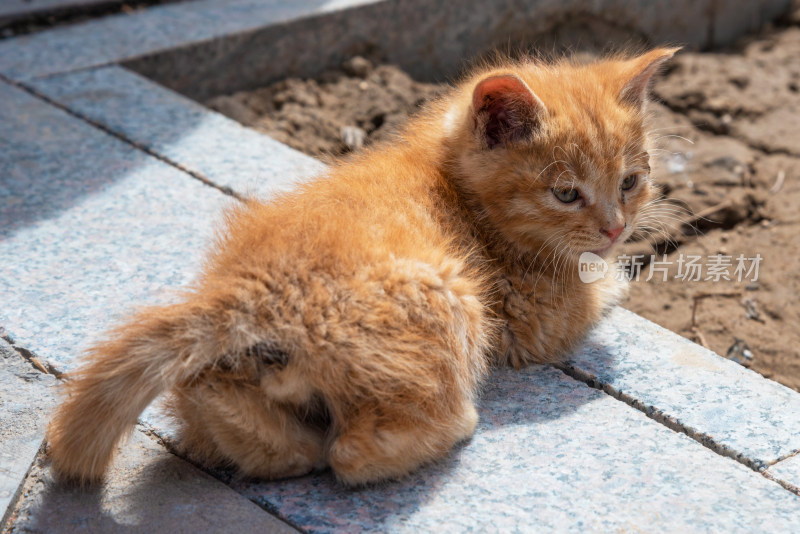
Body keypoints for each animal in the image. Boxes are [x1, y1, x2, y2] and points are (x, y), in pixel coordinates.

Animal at [47, 48, 676, 488]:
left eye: (630, 180)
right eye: (567, 193)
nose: (616, 227)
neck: (447, 177)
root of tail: (251, 294)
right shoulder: (535, 318)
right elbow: (596, 290)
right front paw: (618, 273)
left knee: (215, 401)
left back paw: (277, 443)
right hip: (449, 301)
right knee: (353, 455)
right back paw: (449, 429)